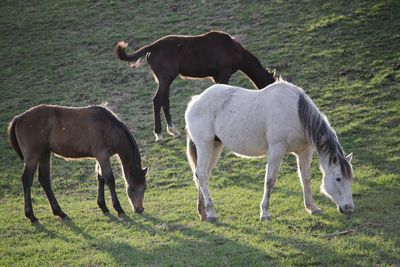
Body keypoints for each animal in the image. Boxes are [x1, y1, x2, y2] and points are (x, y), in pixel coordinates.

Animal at [7, 105, 148, 224]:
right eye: (132, 188)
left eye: (145, 188)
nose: (140, 209)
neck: (109, 128)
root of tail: (19, 118)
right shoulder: (102, 155)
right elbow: (109, 179)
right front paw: (119, 209)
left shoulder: (100, 156)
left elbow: (100, 178)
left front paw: (103, 206)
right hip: (33, 156)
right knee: (27, 180)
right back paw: (31, 215)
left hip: (44, 154)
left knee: (44, 179)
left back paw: (60, 213)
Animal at [115, 30, 276, 143]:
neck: (233, 49)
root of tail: (151, 47)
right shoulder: (224, 74)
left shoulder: (216, 77)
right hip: (166, 79)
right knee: (157, 100)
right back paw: (160, 134)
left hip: (164, 80)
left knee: (164, 101)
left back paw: (173, 131)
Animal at [184, 80, 354, 223]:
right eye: (338, 178)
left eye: (351, 179)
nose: (349, 208)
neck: (296, 112)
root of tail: (195, 101)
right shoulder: (276, 150)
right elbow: (270, 181)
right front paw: (264, 212)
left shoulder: (304, 152)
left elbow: (305, 178)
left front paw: (311, 207)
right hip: (204, 145)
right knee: (202, 175)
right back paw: (211, 212)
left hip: (215, 147)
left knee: (202, 175)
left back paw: (203, 212)